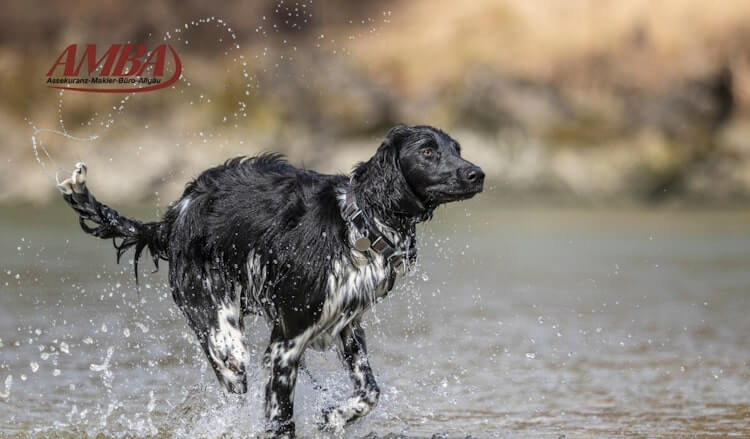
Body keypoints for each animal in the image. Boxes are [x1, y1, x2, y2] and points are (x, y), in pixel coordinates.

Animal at [55, 125, 484, 438]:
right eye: (427, 151)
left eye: (457, 148)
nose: (477, 173)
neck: (357, 225)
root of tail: (175, 215)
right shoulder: (285, 344)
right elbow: (282, 420)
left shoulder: (347, 327)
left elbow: (370, 392)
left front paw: (334, 417)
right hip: (219, 327)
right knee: (229, 366)